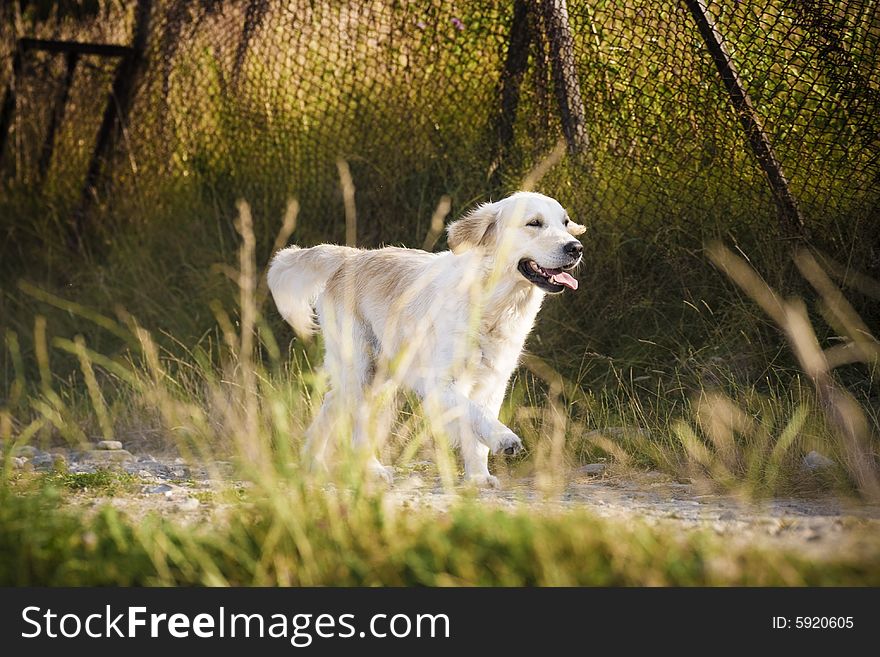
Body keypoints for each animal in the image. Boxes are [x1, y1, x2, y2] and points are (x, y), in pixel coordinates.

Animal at [268, 191, 584, 486]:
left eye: (565, 223)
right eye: (534, 223)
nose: (576, 247)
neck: (492, 303)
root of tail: (350, 256)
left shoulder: (493, 382)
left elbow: (476, 431)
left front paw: (479, 477)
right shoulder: (439, 382)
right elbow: (474, 415)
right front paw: (504, 439)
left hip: (381, 374)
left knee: (333, 402)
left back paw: (314, 461)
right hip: (362, 370)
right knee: (354, 416)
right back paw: (370, 469)